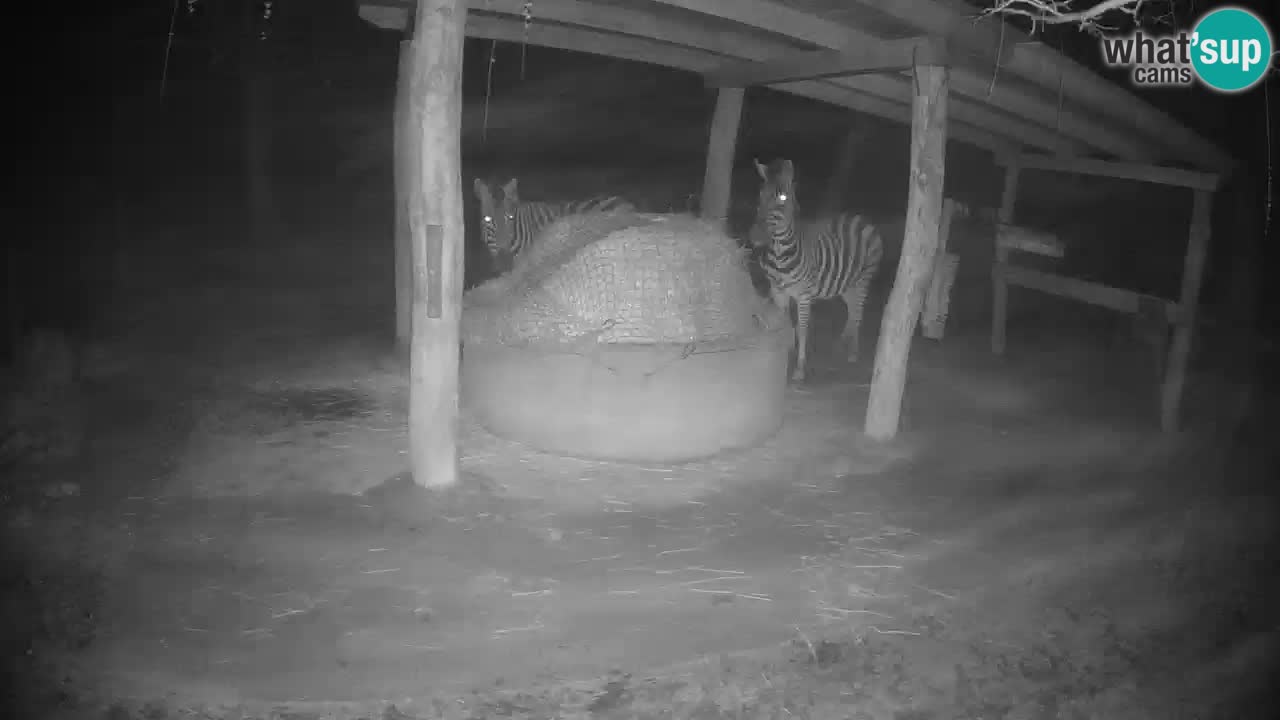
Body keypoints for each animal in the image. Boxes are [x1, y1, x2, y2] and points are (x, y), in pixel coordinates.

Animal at [749, 158, 885, 382]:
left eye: (782, 197)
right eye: (760, 194)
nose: (755, 237)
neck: (779, 254)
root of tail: (861, 217)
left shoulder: (804, 296)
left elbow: (803, 329)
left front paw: (799, 368)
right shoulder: (777, 291)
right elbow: (782, 322)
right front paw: (784, 350)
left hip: (864, 278)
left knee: (858, 311)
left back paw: (853, 352)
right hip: (847, 284)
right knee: (852, 308)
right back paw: (842, 343)